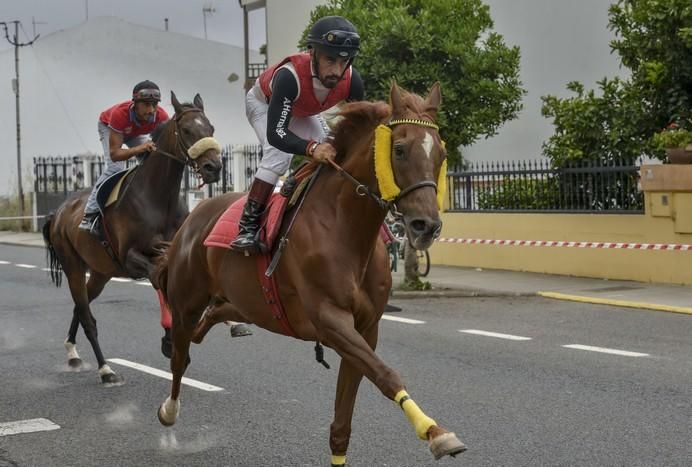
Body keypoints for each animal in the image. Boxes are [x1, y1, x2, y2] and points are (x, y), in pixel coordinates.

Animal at [42, 93, 222, 386]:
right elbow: (158, 279)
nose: (213, 167)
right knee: (87, 317)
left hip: (101, 272)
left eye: (211, 128)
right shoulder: (131, 258)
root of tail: (58, 213)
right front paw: (171, 340)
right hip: (73, 267)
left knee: (81, 307)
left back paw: (72, 353)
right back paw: (106, 370)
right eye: (186, 130)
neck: (158, 198)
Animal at [152, 83, 464, 464]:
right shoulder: (330, 320)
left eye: (442, 152)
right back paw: (168, 409)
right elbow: (386, 374)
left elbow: (343, 424)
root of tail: (191, 220)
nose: (426, 226)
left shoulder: (366, 328)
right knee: (180, 355)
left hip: (244, 304)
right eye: (400, 149)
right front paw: (436, 433)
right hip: (186, 302)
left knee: (210, 321)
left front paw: (435, 432)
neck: (345, 226)